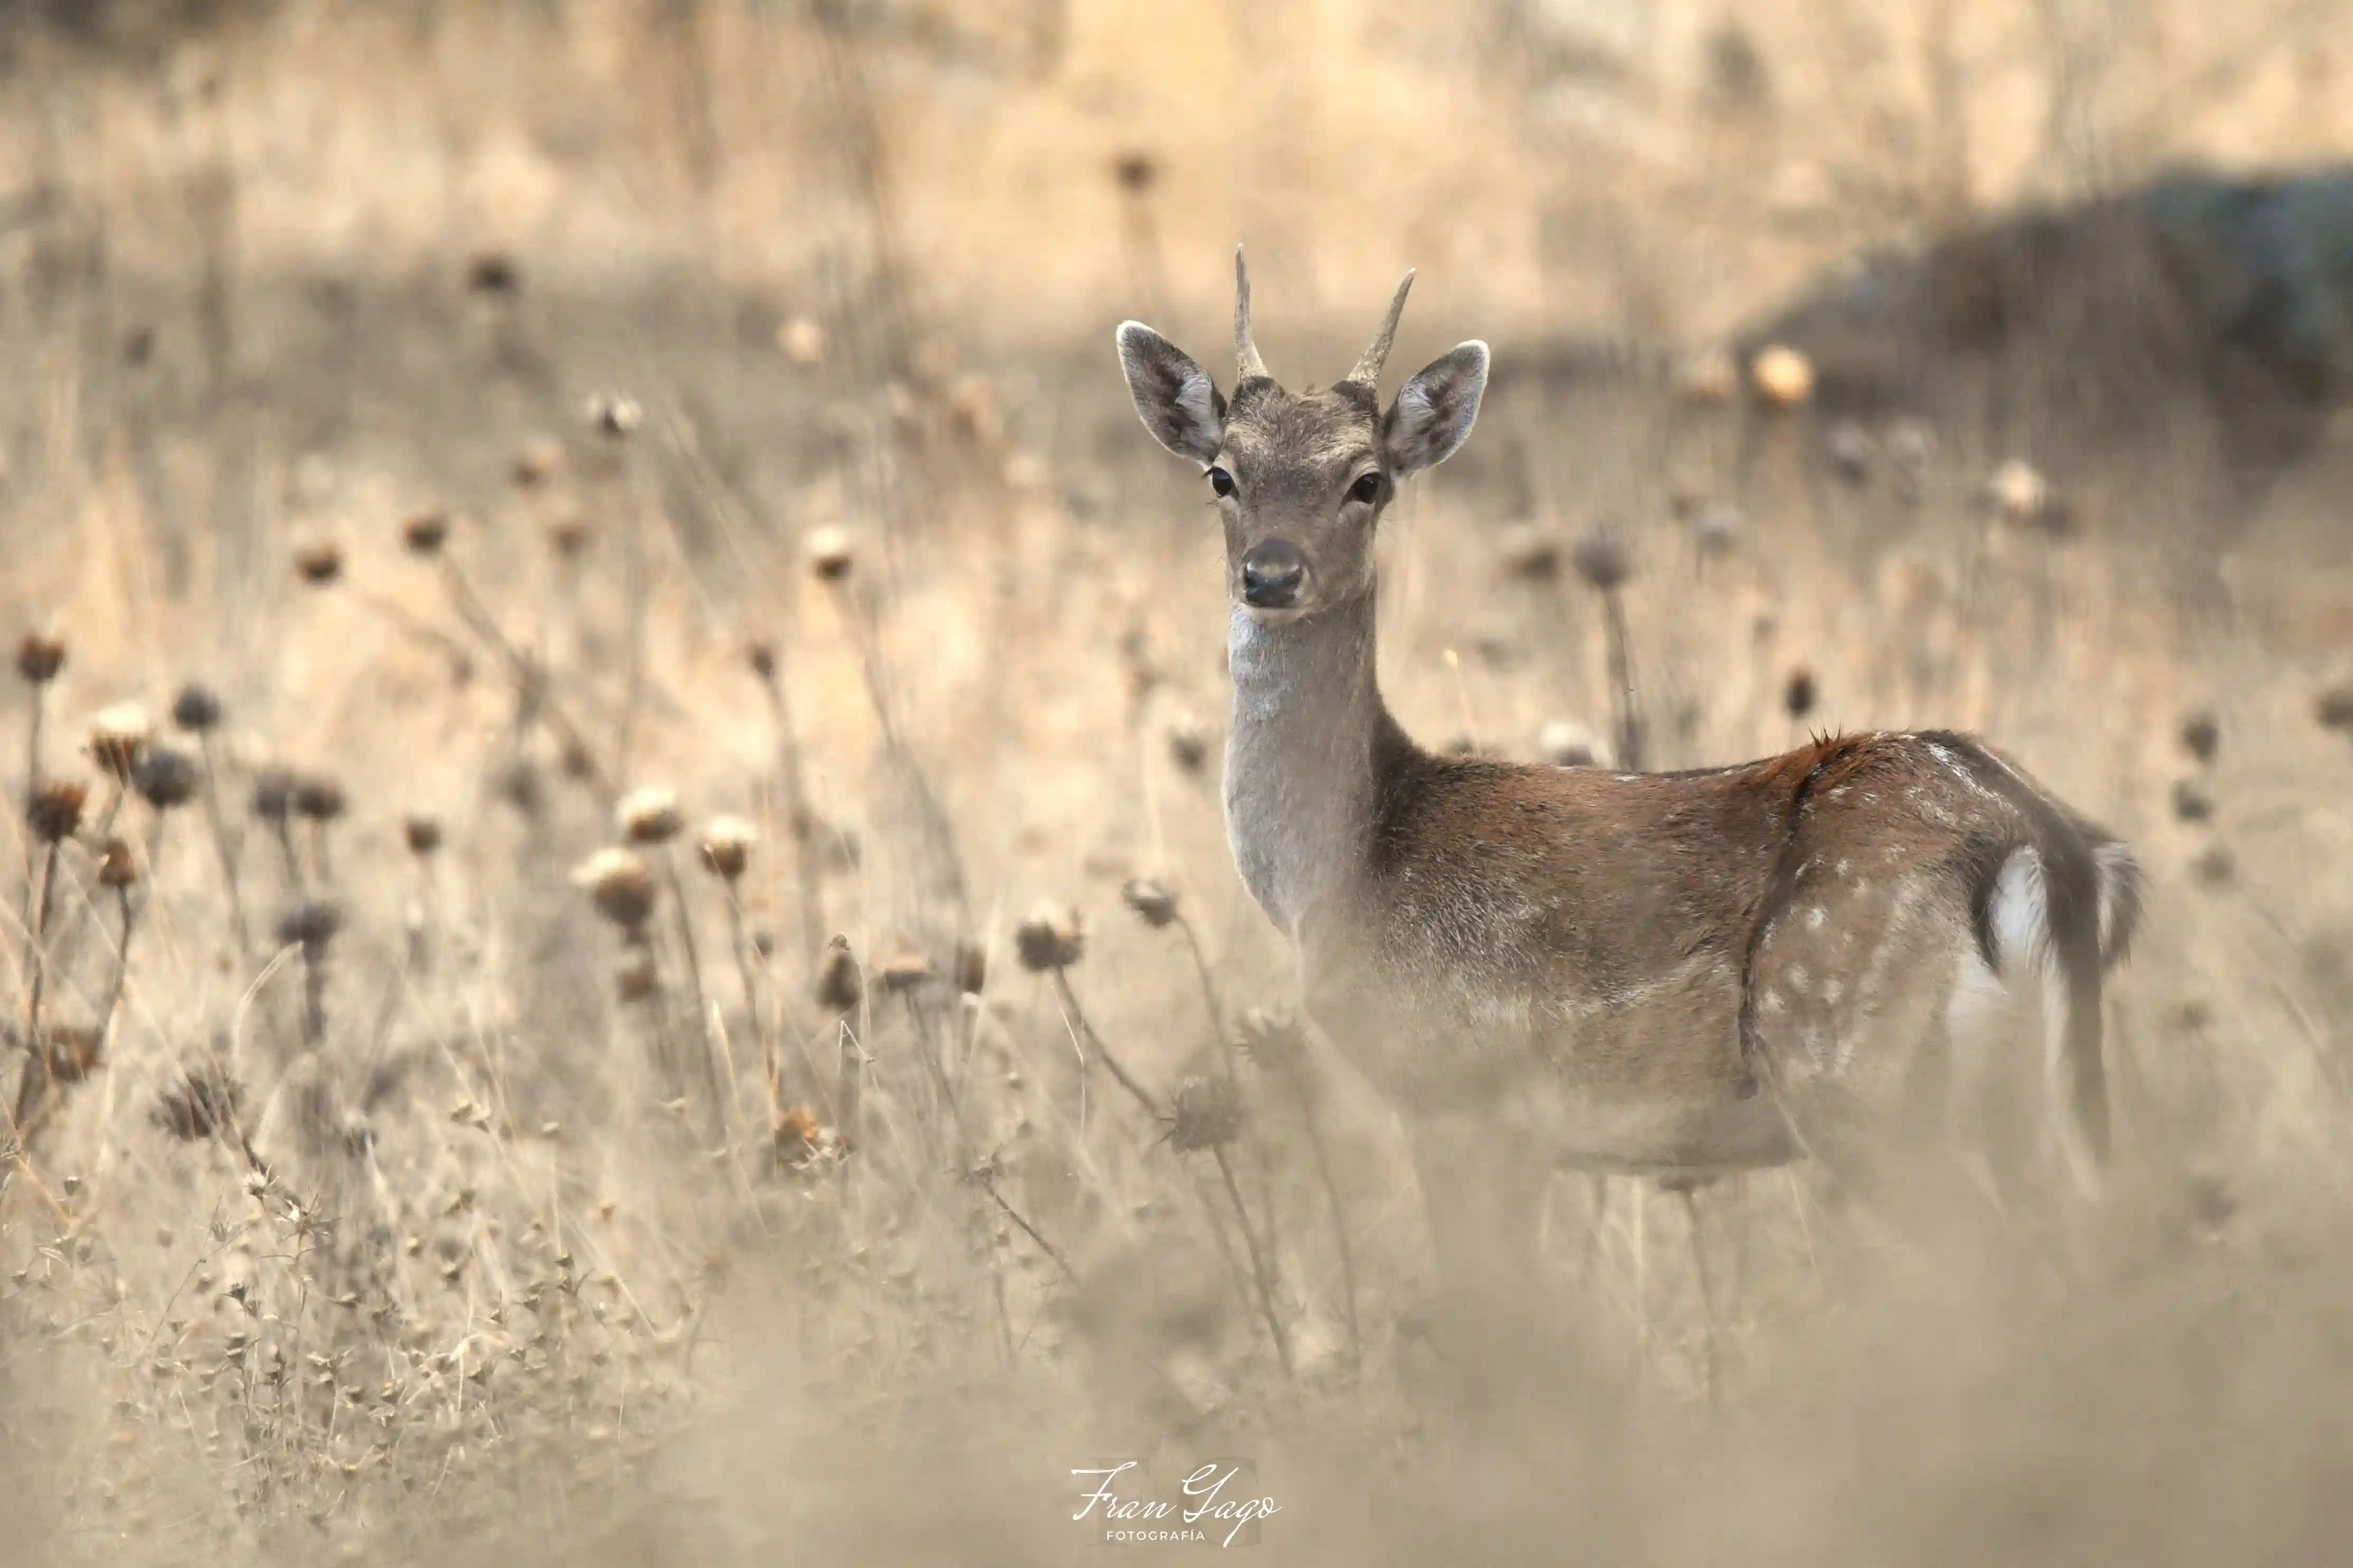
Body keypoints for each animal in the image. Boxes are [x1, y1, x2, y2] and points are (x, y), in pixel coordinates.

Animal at [1110, 257, 2146, 1307]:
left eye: (1366, 481)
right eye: (1222, 474)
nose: (1270, 572)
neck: (1335, 878)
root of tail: (2042, 840)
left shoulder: (1455, 1091)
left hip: (1852, 1065)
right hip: (2019, 1107)